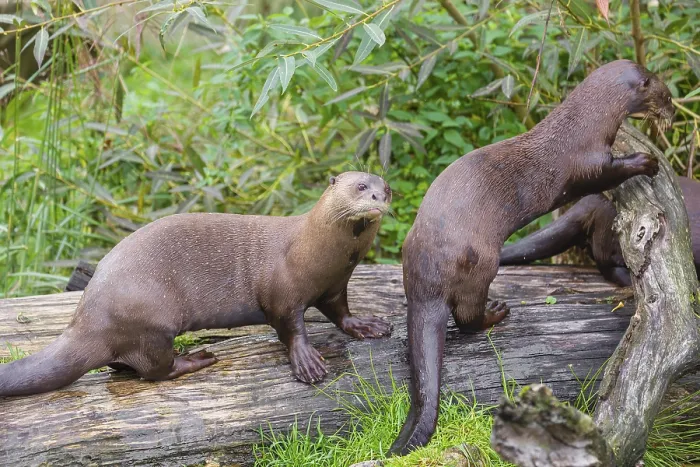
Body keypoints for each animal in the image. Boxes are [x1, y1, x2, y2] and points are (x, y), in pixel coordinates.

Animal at [0, 172, 392, 397]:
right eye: (360, 186)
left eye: (386, 189)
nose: (378, 198)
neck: (314, 249)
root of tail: (87, 317)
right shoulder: (281, 294)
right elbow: (290, 326)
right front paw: (307, 361)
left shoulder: (334, 285)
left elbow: (341, 313)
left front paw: (367, 325)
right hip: (153, 320)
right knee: (155, 371)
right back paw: (198, 358)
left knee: (123, 366)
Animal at [390, 60, 674, 455]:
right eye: (665, 95)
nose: (672, 112)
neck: (584, 125)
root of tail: (426, 281)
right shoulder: (588, 162)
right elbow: (607, 173)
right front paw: (646, 162)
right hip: (482, 262)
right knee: (466, 318)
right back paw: (497, 312)